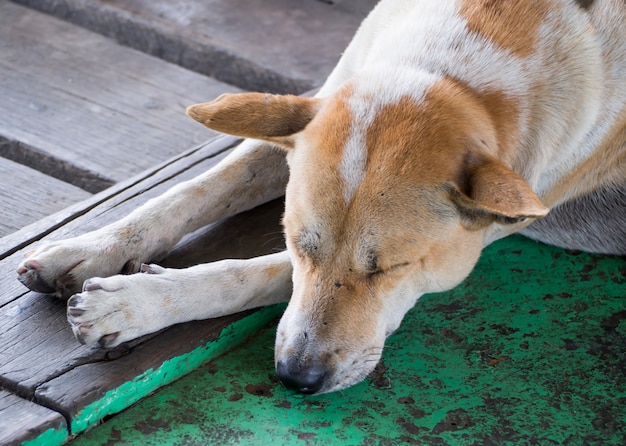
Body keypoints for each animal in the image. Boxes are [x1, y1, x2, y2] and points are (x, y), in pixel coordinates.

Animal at [15, 0, 624, 392]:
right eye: (297, 241)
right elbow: (192, 190)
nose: (296, 379)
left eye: (391, 269)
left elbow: (247, 273)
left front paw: (131, 303)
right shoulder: (307, 114)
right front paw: (90, 248)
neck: (454, 73)